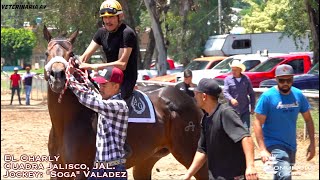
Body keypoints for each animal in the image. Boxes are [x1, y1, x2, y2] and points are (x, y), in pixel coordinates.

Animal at [43, 25, 208, 180]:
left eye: (70, 54)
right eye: (46, 53)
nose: (57, 75)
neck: (66, 123)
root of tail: (189, 99)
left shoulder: (82, 172)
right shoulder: (58, 172)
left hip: (190, 154)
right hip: (147, 160)